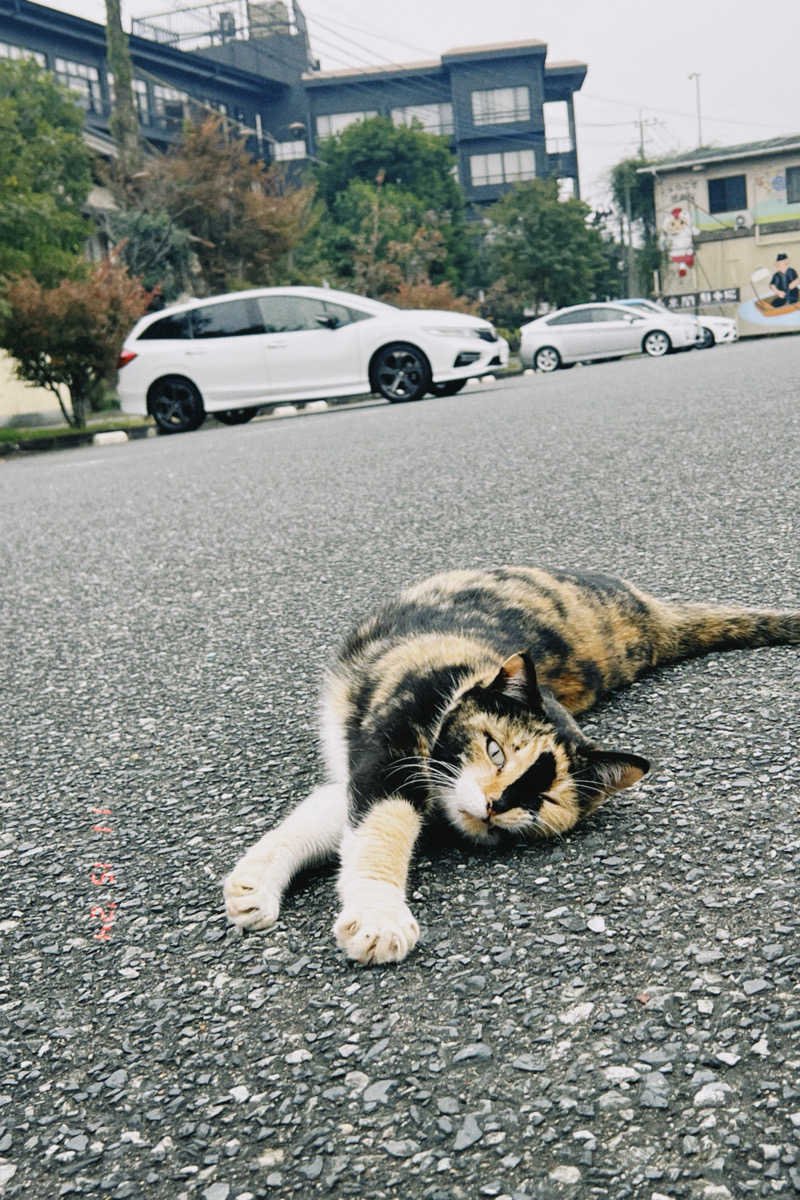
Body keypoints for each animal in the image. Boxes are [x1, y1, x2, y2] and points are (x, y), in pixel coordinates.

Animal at [220, 564, 800, 964]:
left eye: (542, 797)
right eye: (495, 749)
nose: (497, 803)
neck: (461, 680)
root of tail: (652, 616)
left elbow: (344, 827)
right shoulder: (387, 761)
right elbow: (373, 831)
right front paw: (368, 915)